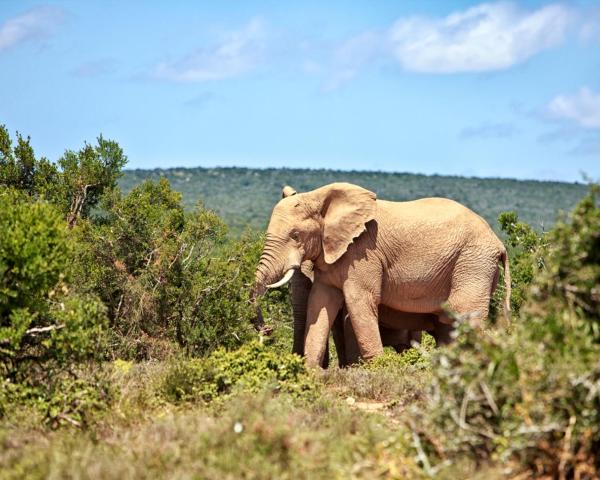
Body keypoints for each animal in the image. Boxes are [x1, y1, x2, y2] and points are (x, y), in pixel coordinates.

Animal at [251, 181, 508, 368]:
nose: (268, 330)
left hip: (474, 262)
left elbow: (358, 301)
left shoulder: (363, 253)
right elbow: (320, 302)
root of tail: (499, 243)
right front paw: (311, 372)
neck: (321, 197)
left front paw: (374, 369)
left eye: (295, 235)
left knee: (465, 313)